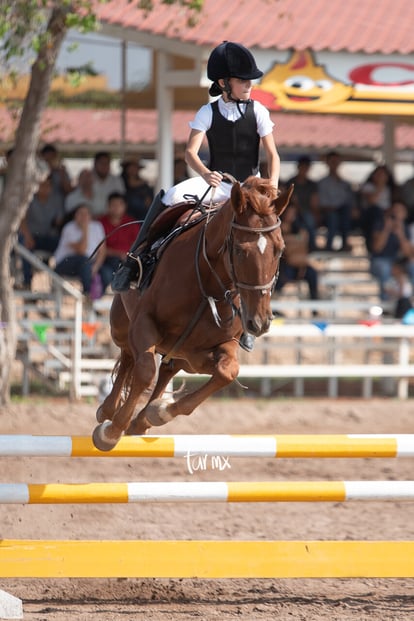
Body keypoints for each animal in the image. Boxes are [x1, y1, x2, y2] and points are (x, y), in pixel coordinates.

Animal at [91, 176, 292, 450]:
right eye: (240, 250)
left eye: (279, 250)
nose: (259, 323)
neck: (208, 284)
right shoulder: (144, 323)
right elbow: (144, 371)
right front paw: (111, 431)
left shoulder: (220, 345)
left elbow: (228, 372)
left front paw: (158, 412)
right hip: (122, 326)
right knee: (129, 358)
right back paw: (108, 411)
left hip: (184, 355)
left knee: (167, 370)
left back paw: (144, 419)